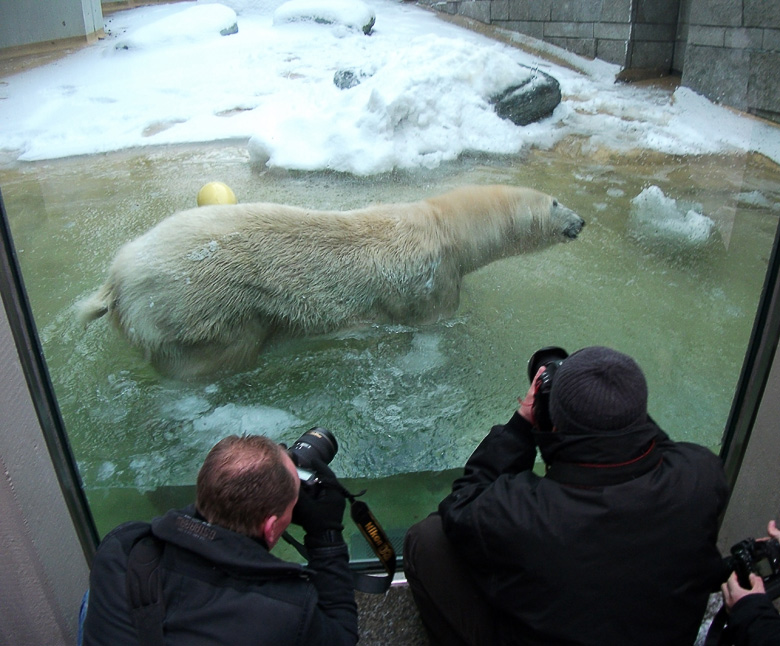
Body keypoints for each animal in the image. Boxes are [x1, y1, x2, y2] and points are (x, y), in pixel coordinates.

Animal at [79, 186, 584, 380]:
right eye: (556, 202)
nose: (581, 221)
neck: (444, 224)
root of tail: (116, 282)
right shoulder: (430, 283)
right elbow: (430, 328)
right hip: (200, 308)